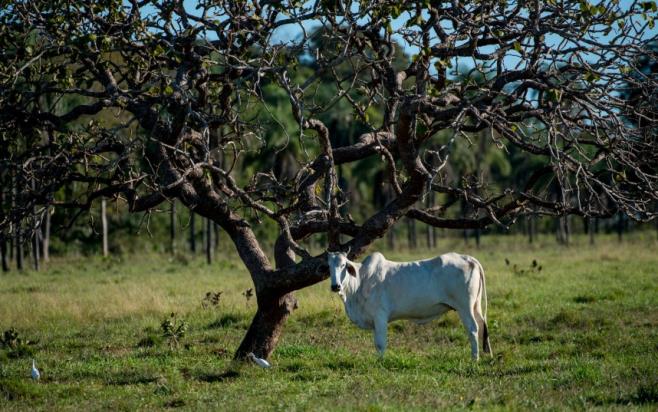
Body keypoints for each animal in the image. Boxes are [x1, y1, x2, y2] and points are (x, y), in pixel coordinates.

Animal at [326, 249, 486, 358]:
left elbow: (380, 343)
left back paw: (475, 358)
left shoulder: (380, 316)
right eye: (329, 267)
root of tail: (469, 259)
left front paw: (380, 362)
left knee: (473, 329)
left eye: (343, 265)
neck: (361, 280)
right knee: (481, 325)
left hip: (464, 307)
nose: (335, 286)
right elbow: (377, 343)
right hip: (475, 306)